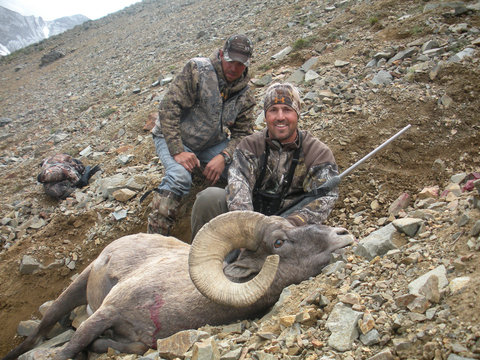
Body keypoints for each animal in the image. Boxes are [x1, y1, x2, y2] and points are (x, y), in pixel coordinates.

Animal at [1, 211, 354, 360]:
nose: (343, 235)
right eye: (279, 241)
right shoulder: (107, 312)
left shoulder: (140, 340)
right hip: (76, 286)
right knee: (39, 331)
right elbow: (69, 348)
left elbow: (126, 347)